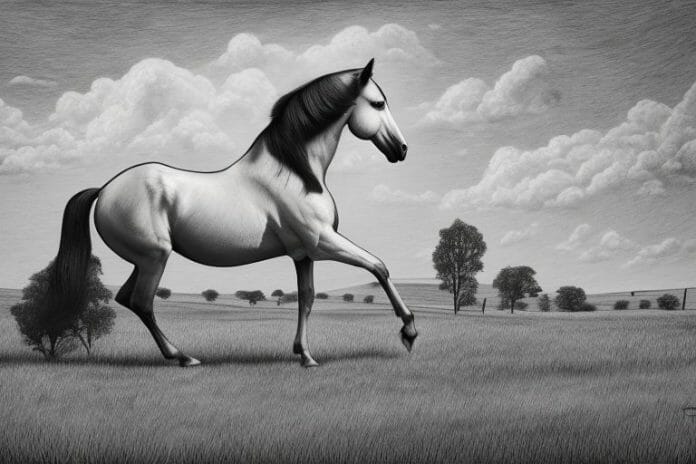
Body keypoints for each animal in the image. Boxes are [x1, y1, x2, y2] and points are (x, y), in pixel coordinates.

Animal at [52, 58, 417, 367]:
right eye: (378, 104)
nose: (401, 150)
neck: (296, 172)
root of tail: (104, 190)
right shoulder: (322, 242)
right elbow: (378, 267)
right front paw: (409, 331)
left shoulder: (303, 254)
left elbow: (307, 298)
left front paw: (305, 355)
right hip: (154, 258)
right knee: (142, 302)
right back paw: (184, 358)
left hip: (143, 260)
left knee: (128, 299)